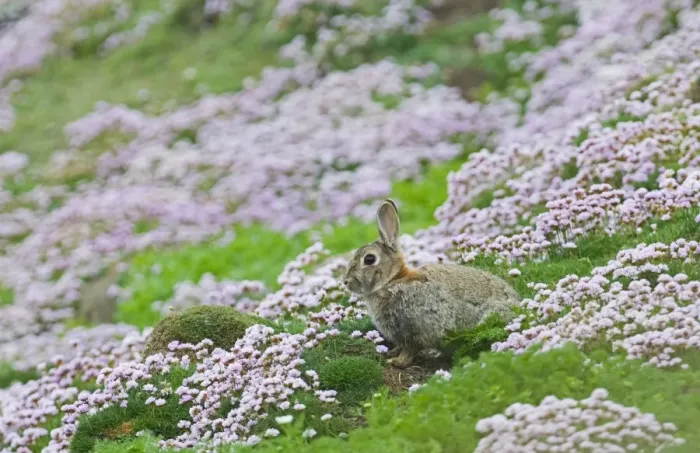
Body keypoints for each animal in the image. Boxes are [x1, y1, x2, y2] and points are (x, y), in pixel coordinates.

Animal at [343, 199, 521, 368]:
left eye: (369, 259)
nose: (346, 282)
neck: (392, 280)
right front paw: (390, 353)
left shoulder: (413, 329)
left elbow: (409, 350)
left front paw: (397, 362)